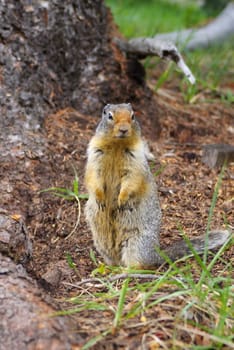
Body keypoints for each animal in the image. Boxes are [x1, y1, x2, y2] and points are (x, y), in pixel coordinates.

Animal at [84, 104, 229, 268]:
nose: (124, 129)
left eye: (133, 116)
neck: (117, 145)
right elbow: (93, 178)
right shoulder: (94, 155)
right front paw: (100, 198)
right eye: (109, 116)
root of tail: (156, 255)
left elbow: (131, 181)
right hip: (101, 242)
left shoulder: (136, 162)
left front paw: (122, 200)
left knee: (140, 265)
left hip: (136, 243)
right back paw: (107, 268)